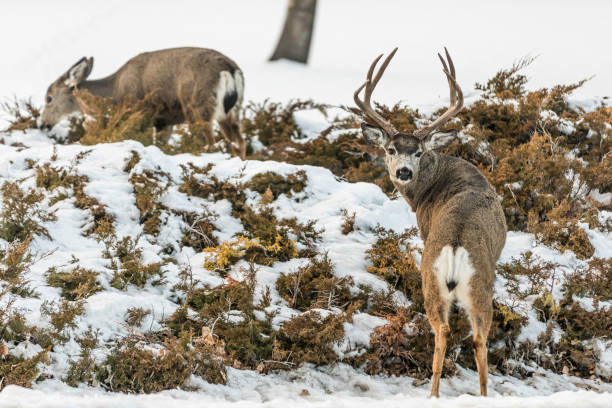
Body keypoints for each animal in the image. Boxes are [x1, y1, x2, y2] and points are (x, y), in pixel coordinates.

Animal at [38, 46, 246, 158]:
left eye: (49, 98)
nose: (42, 124)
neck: (114, 92)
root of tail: (229, 69)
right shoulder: (164, 121)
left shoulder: (139, 112)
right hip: (231, 112)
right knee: (239, 142)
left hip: (196, 106)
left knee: (211, 143)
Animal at [354, 47, 506, 396]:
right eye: (391, 148)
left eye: (419, 152)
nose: (403, 171)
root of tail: (455, 248)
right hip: (475, 286)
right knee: (475, 337)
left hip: (435, 282)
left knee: (451, 332)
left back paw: (435, 392)